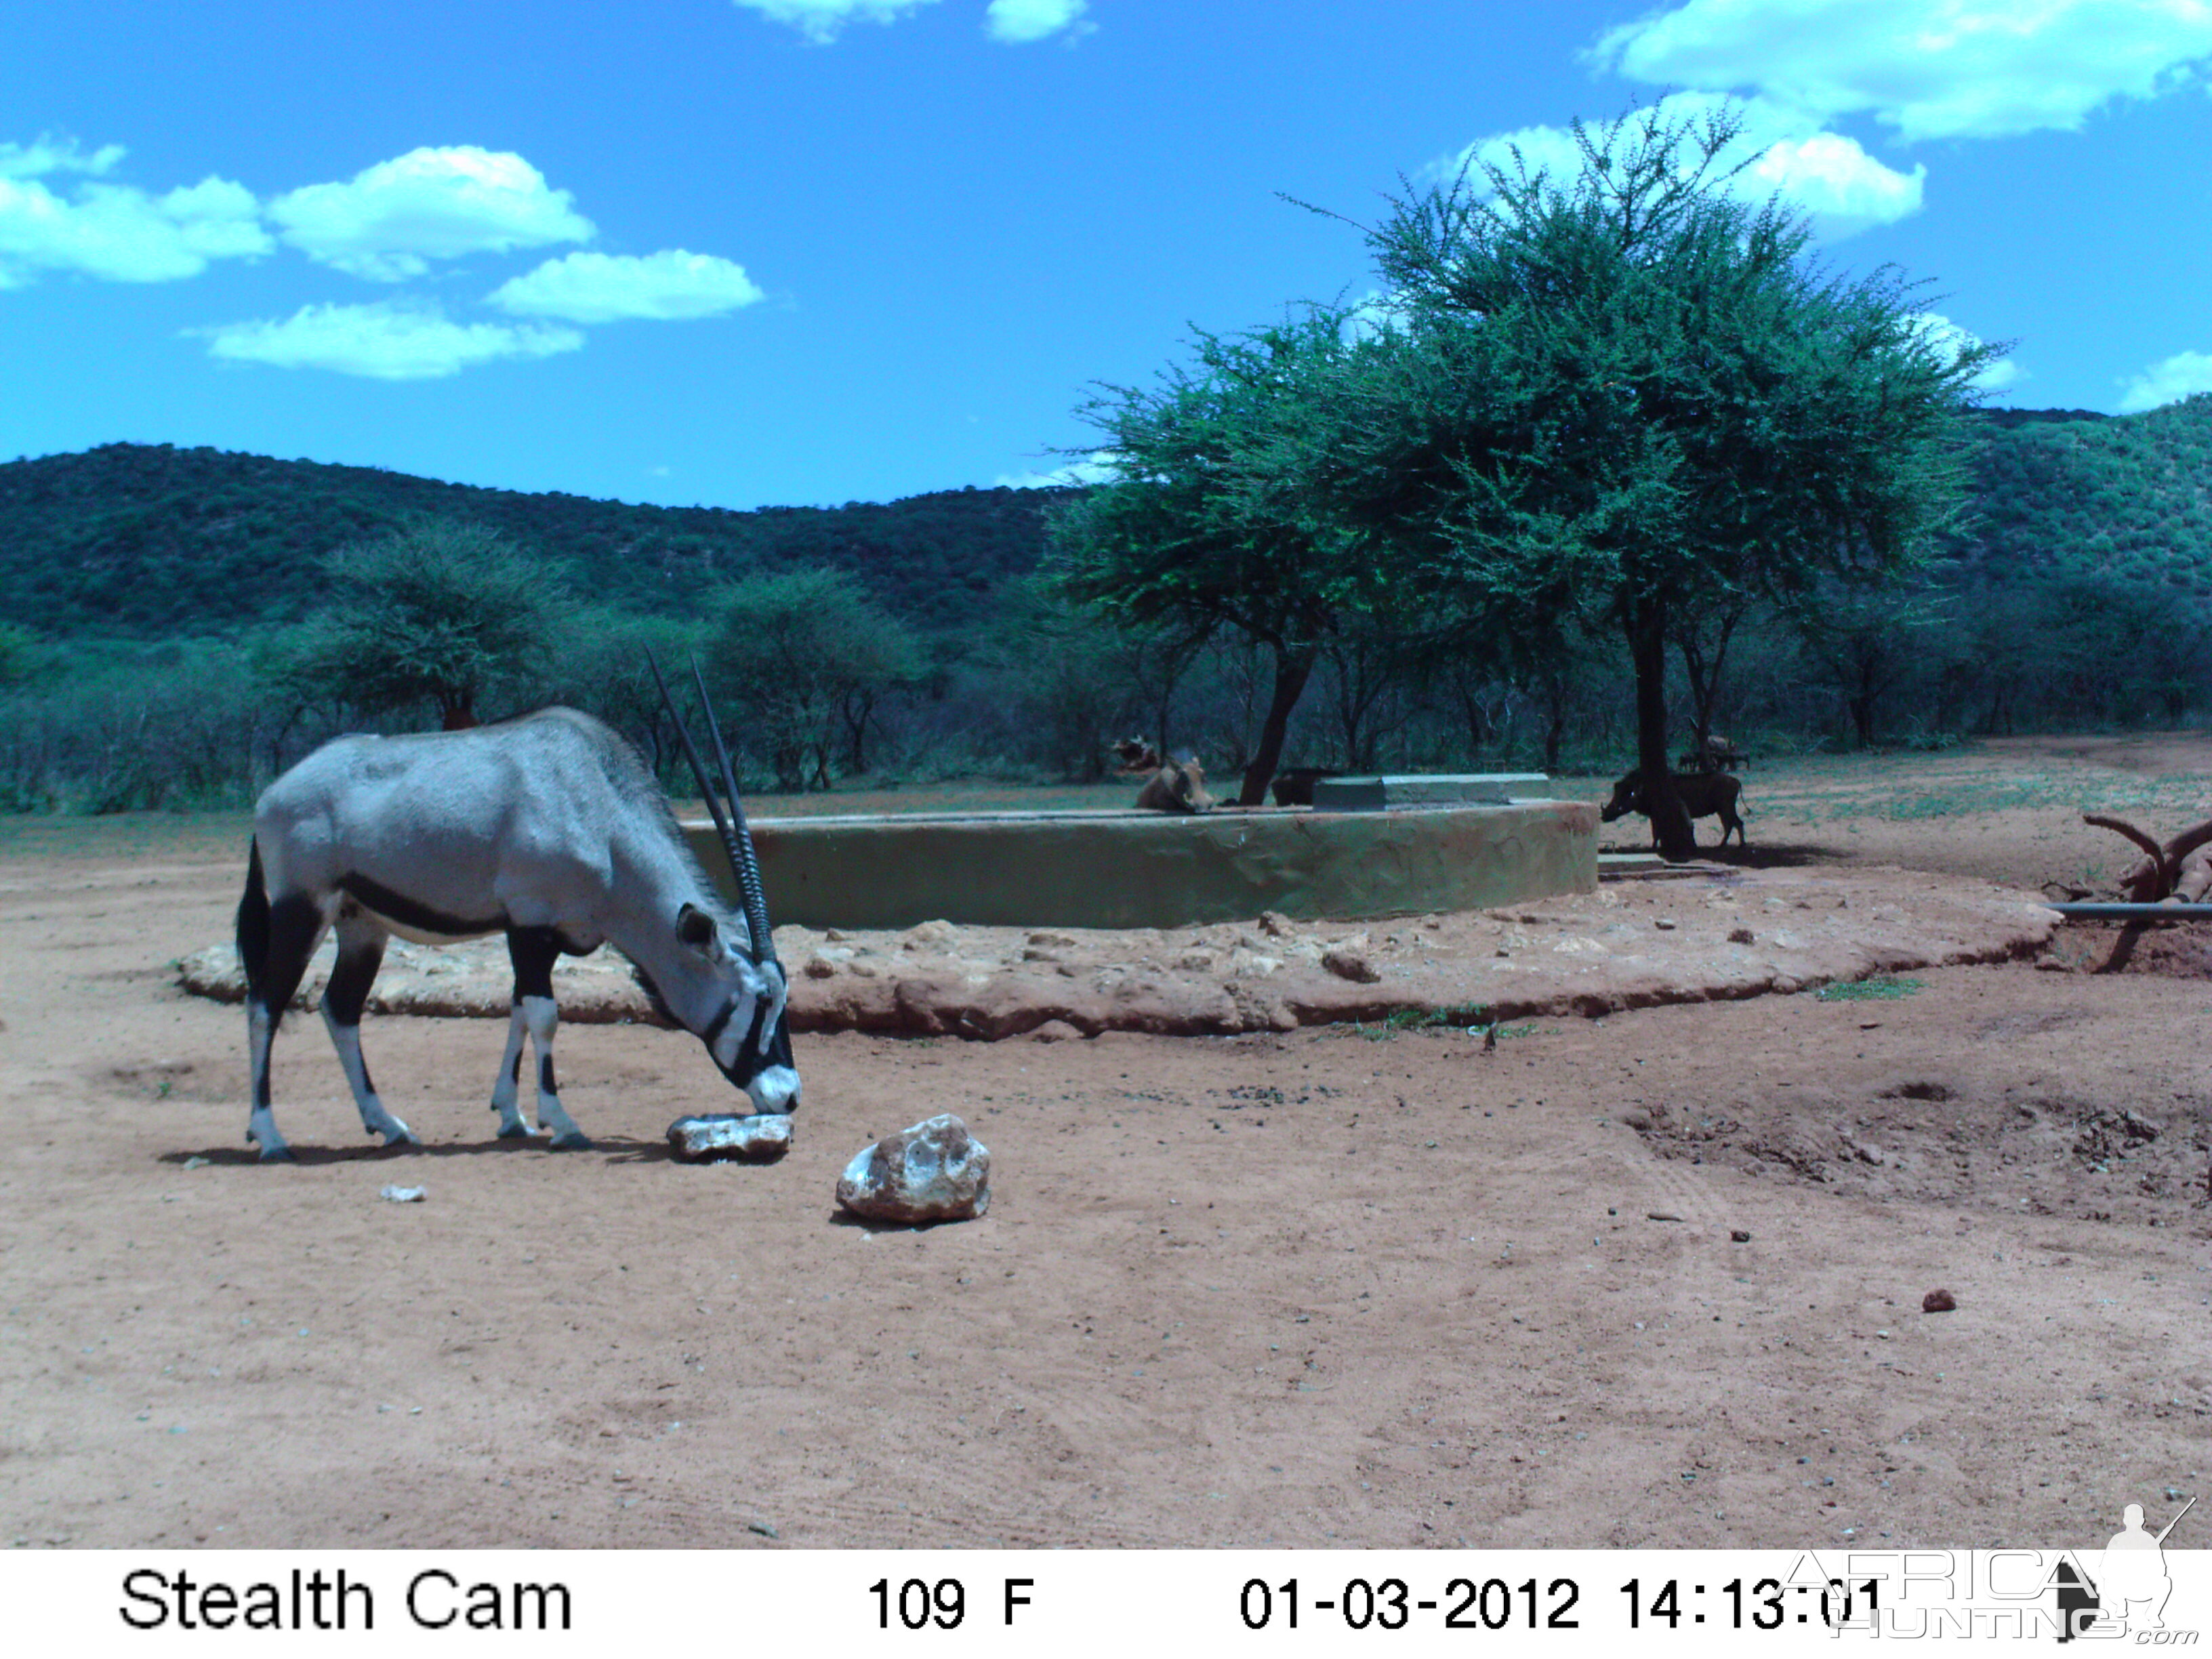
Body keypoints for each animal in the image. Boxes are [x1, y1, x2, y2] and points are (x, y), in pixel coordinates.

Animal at [226, 655, 787, 1159]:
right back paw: (270, 1137)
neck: (598, 809)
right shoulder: (530, 924)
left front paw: (513, 1116)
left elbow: (518, 1010)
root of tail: (271, 795)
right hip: (302, 911)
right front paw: (561, 1122)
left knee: (340, 1009)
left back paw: (388, 1125)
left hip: (362, 925)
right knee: (265, 1003)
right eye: (759, 1000)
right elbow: (543, 1016)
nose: (788, 1096)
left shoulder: (551, 935)